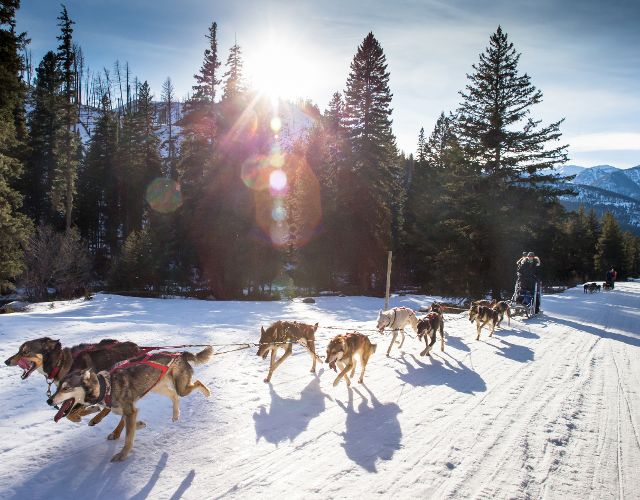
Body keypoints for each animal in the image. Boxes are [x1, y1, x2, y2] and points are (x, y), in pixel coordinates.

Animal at [48, 348, 212, 460]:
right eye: (58, 387)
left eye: (66, 388)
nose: (49, 400)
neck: (107, 386)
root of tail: (180, 353)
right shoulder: (126, 409)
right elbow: (127, 423)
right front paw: (138, 425)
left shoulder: (129, 410)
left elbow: (128, 437)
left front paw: (122, 454)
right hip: (157, 387)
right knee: (174, 395)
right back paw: (176, 414)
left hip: (181, 388)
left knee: (196, 383)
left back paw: (207, 393)